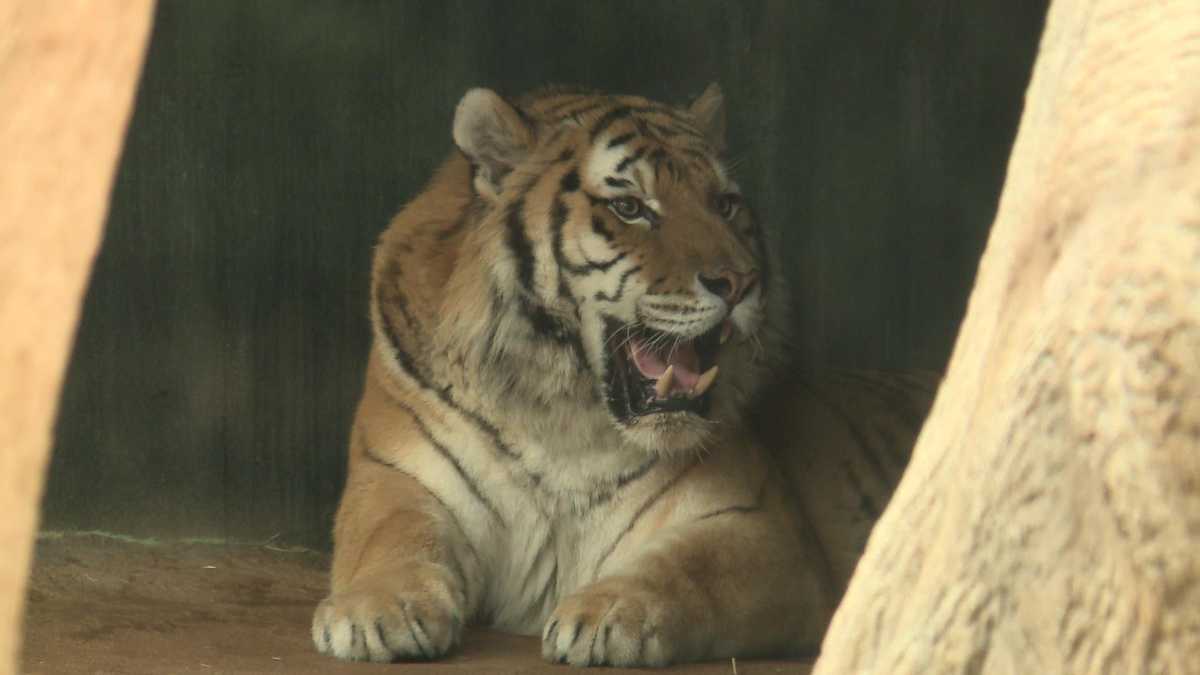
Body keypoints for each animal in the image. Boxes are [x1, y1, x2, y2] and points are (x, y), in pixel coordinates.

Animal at [309, 82, 936, 662]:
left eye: (725, 204)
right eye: (631, 207)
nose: (740, 282)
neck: (563, 415)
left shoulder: (756, 525)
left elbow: (689, 568)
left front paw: (610, 613)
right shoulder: (395, 474)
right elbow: (393, 535)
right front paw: (378, 608)